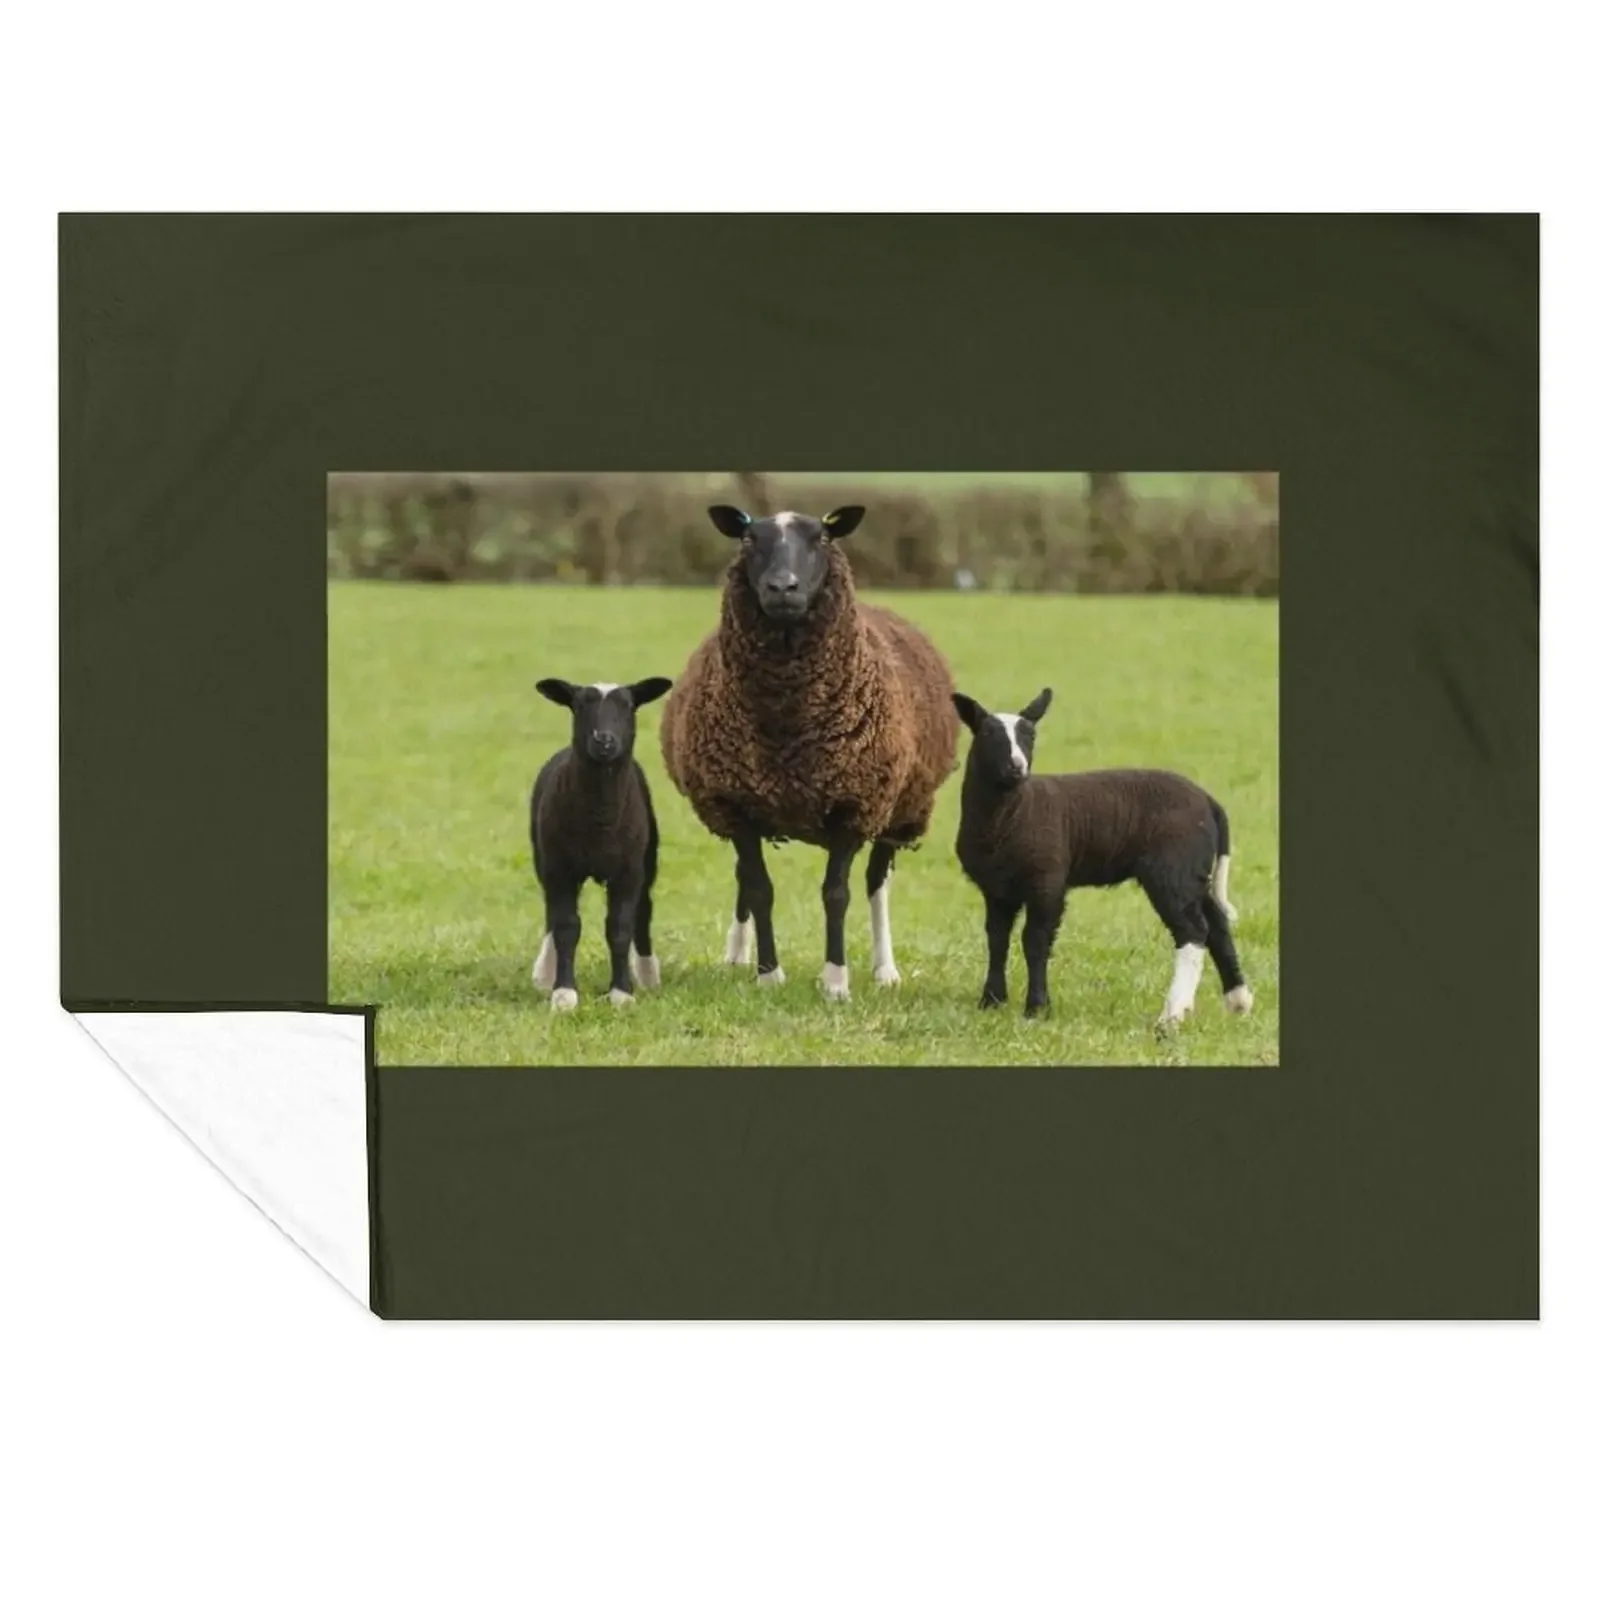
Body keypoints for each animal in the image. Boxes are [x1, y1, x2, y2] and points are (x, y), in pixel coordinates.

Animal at [529, 675, 673, 1012]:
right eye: (580, 705)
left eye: (629, 705)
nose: (603, 740)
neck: (601, 818)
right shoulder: (560, 869)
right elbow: (566, 927)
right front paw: (563, 993)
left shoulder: (628, 872)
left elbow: (619, 928)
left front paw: (622, 993)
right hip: (544, 861)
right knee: (551, 914)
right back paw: (545, 970)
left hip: (647, 861)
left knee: (643, 912)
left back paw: (648, 975)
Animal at [660, 504, 961, 1001]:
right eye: (749, 539)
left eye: (821, 537)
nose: (783, 587)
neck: (787, 724)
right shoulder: (737, 804)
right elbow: (759, 888)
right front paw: (768, 973)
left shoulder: (853, 806)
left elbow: (836, 894)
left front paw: (836, 981)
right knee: (744, 879)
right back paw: (735, 955)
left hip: (900, 808)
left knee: (877, 883)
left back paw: (885, 970)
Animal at [950, 686, 1252, 1029]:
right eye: (987, 733)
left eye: (1031, 735)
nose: (1017, 766)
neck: (1011, 813)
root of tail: (1209, 801)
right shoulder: (998, 889)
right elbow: (997, 940)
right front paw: (991, 1001)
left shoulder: (1047, 882)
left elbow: (1035, 943)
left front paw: (1037, 1008)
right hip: (1192, 872)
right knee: (1217, 926)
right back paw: (1237, 1000)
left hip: (1172, 870)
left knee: (1193, 932)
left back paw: (1171, 1015)